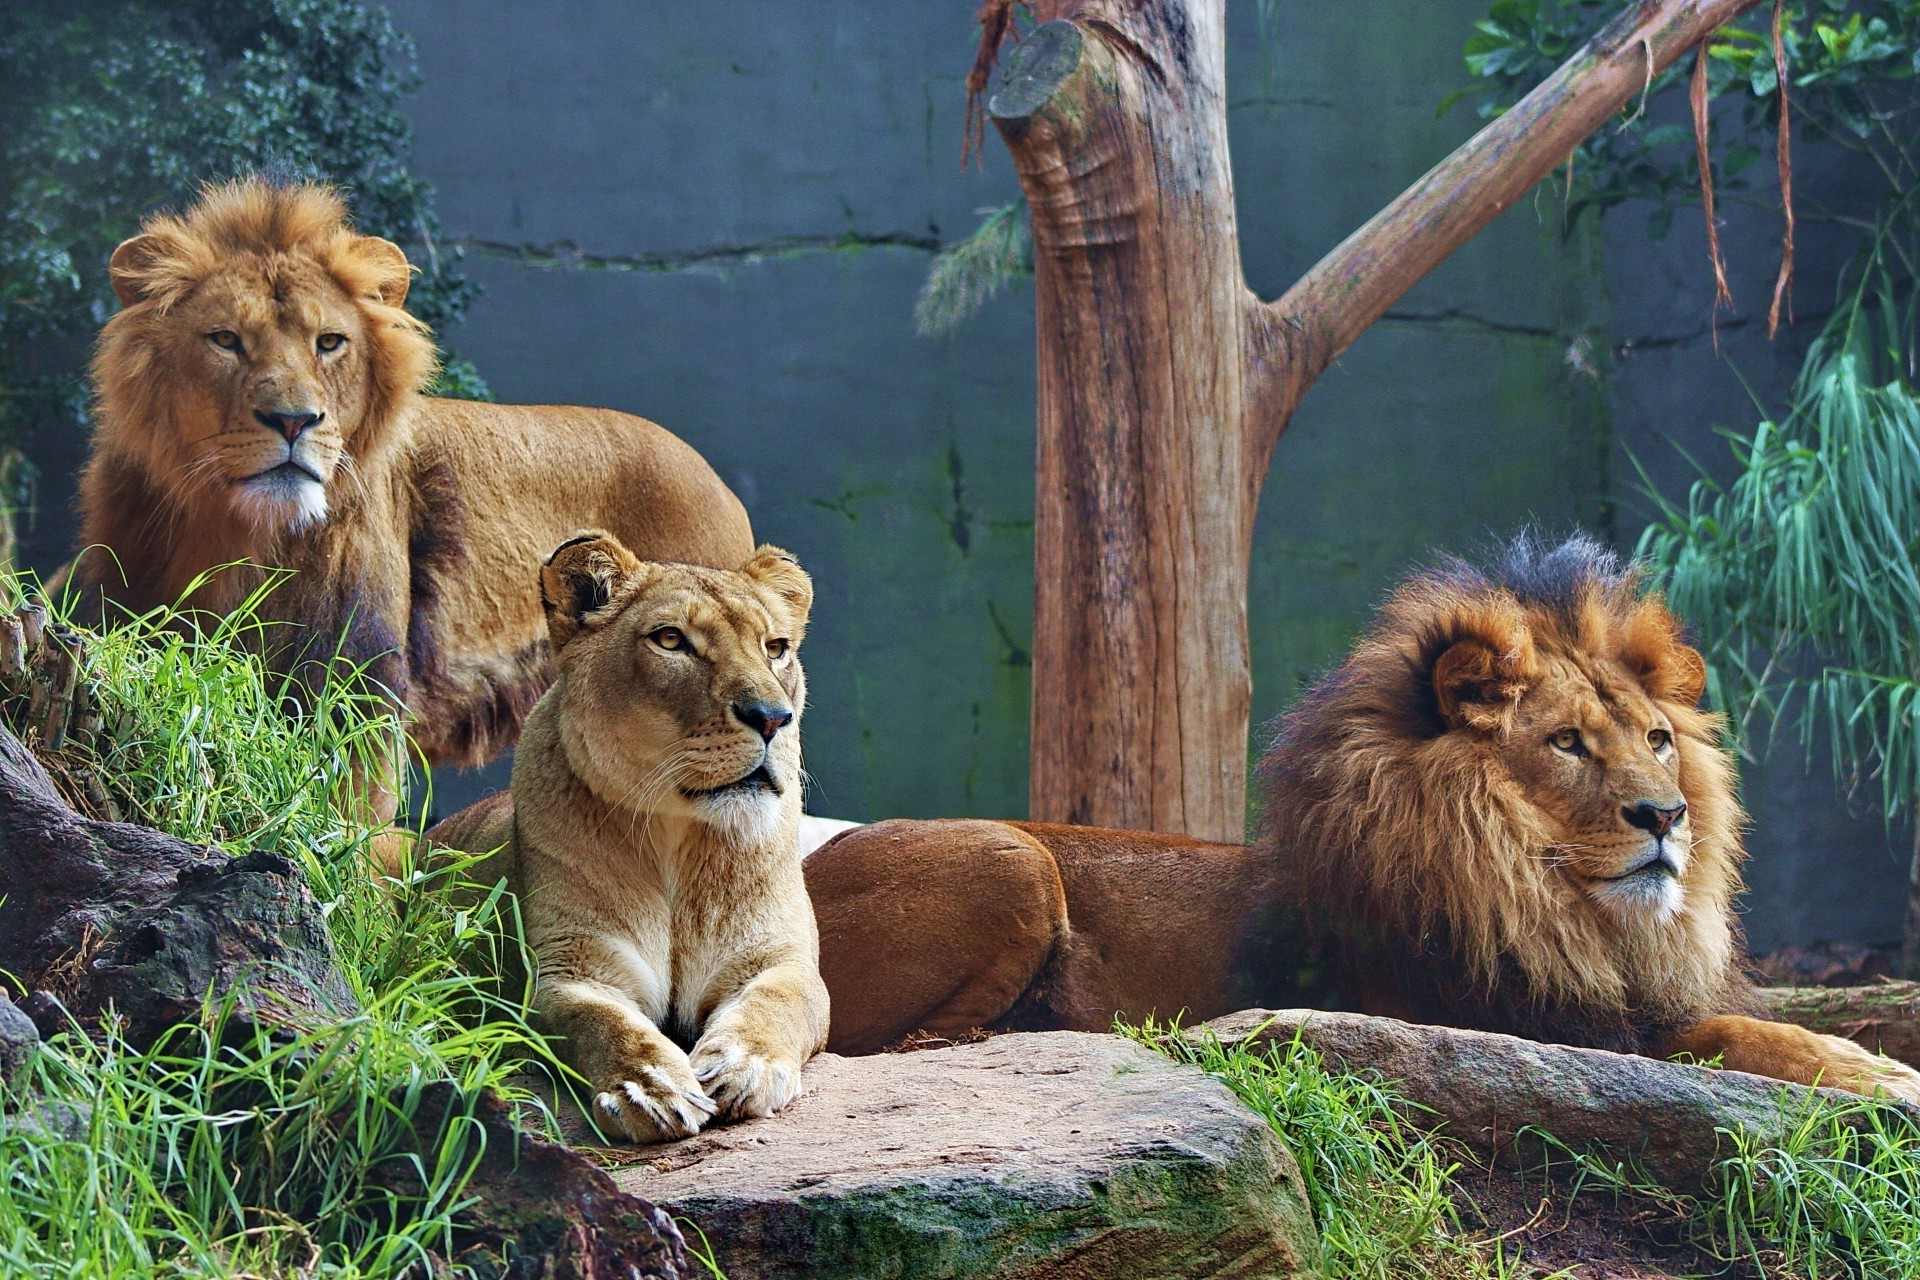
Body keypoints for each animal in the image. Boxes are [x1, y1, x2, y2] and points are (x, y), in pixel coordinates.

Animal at [65, 175, 748, 805]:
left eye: (329, 342)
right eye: (226, 340)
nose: (293, 421)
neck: (240, 536)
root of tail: (720, 485)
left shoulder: (357, 686)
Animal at [428, 529, 825, 1143]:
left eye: (776, 647)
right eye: (671, 640)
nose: (772, 718)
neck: (679, 837)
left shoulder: (780, 957)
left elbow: (777, 1003)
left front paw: (745, 1066)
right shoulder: (572, 970)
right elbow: (604, 1023)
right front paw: (651, 1088)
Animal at [810, 537, 1920, 1105]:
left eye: (1656, 737)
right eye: (1565, 742)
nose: (1668, 815)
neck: (1557, 903)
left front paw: (1874, 1060)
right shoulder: (1493, 1014)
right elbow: (1725, 1031)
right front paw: (1881, 1075)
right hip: (1012, 853)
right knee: (885, 1043)